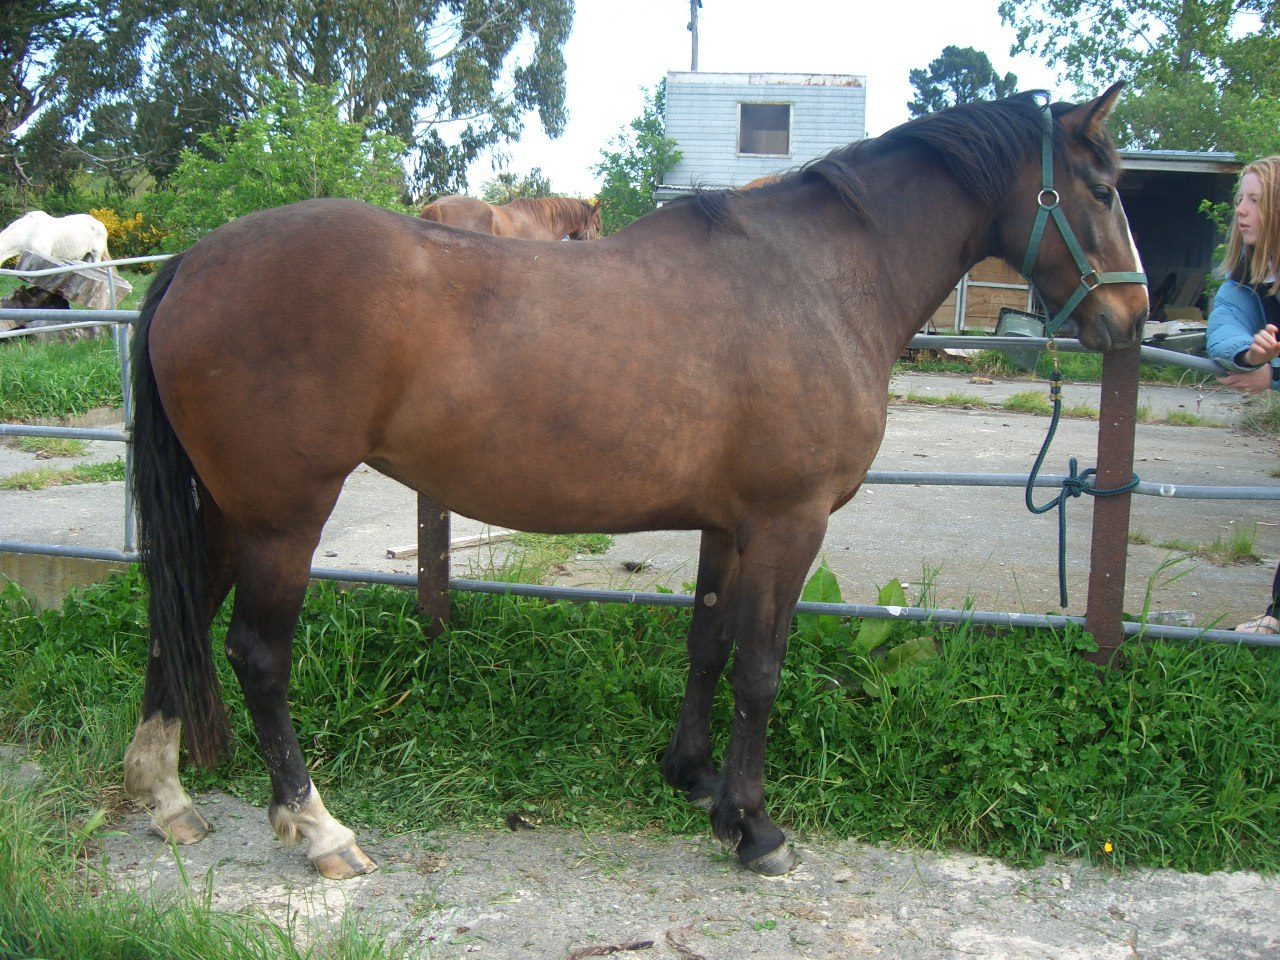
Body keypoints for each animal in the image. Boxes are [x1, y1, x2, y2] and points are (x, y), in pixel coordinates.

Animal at [123, 85, 1147, 881]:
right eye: (1101, 189)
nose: (1132, 316)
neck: (818, 279)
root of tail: (194, 261)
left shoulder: (729, 526)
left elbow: (708, 645)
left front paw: (696, 782)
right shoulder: (790, 523)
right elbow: (762, 668)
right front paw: (757, 830)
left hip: (228, 513)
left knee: (177, 621)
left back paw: (166, 797)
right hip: (282, 519)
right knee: (257, 654)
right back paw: (317, 829)